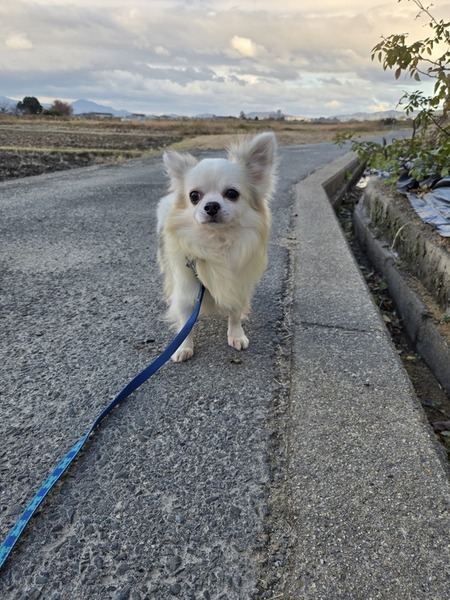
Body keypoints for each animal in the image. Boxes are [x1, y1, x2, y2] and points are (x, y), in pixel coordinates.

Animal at [157, 131, 277, 362]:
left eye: (232, 193)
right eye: (194, 196)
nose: (211, 206)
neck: (217, 243)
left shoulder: (237, 285)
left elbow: (235, 314)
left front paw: (236, 335)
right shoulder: (186, 290)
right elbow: (185, 322)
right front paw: (183, 346)